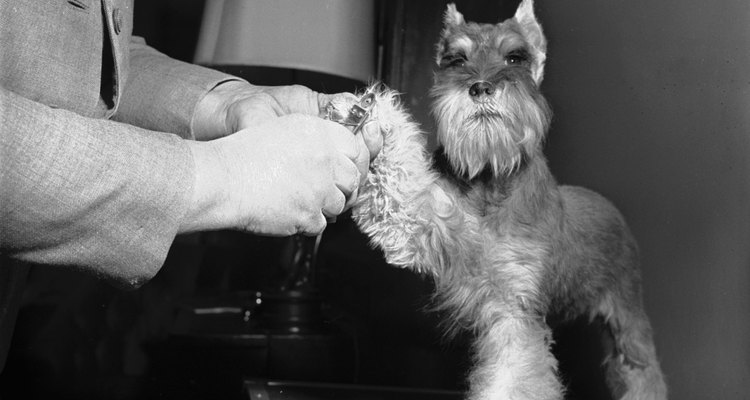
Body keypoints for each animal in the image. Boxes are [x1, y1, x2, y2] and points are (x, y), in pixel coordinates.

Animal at [340, 0, 668, 400]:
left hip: (628, 321)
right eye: (456, 60)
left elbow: (513, 381)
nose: (480, 87)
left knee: (643, 373)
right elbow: (404, 195)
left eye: (515, 57)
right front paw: (379, 114)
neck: (490, 178)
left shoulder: (514, 310)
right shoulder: (430, 225)